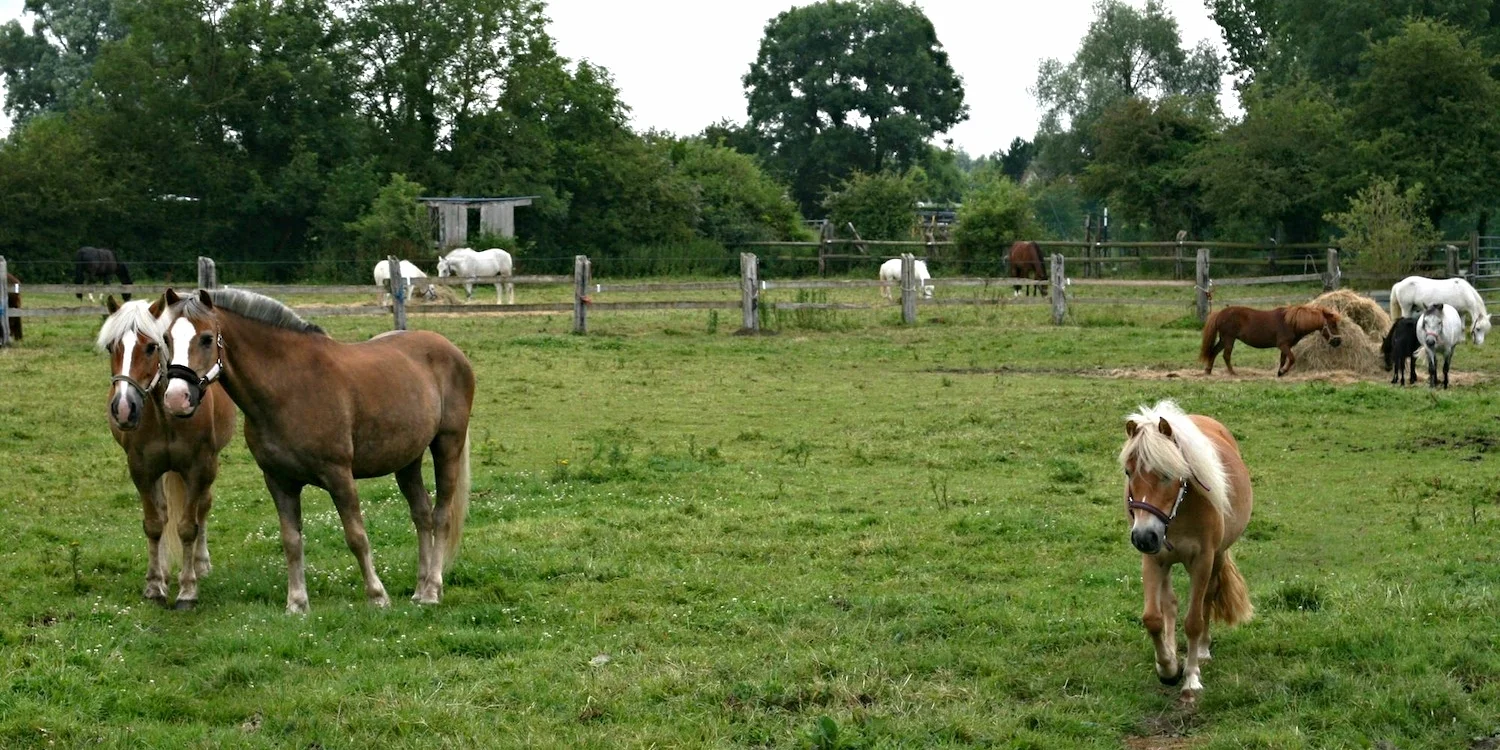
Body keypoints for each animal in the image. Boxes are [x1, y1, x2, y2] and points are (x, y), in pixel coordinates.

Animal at [98, 297, 235, 608]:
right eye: (112, 347)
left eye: (151, 346)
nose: (123, 408)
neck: (165, 415)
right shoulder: (142, 469)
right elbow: (154, 524)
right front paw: (154, 584)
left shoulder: (198, 468)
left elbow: (188, 526)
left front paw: (188, 589)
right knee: (162, 514)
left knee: (203, 507)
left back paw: (200, 563)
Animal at [154, 288, 476, 613]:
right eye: (165, 339)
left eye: (207, 338)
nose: (177, 399)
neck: (288, 388)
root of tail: (451, 350)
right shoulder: (279, 481)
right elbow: (291, 541)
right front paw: (297, 602)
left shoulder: (339, 476)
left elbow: (357, 536)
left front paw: (377, 595)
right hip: (407, 460)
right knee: (422, 515)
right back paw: (420, 589)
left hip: (447, 445)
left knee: (441, 516)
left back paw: (433, 589)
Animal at [1119, 400, 1253, 702]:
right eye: (1128, 472)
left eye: (1168, 474)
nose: (1143, 536)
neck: (1180, 511)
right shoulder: (1153, 559)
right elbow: (1154, 618)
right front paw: (1168, 667)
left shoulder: (1202, 561)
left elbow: (1194, 620)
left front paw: (1191, 678)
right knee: (1169, 604)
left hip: (1217, 558)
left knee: (1208, 600)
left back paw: (1202, 650)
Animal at [1198, 304, 1343, 376]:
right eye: (1332, 325)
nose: (1338, 342)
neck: (1291, 323)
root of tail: (1219, 313)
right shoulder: (1283, 345)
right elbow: (1292, 359)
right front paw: (1283, 371)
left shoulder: (1285, 347)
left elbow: (1283, 360)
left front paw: (1279, 372)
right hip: (1229, 338)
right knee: (1226, 355)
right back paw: (1233, 373)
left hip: (1224, 339)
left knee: (1214, 351)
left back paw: (1208, 370)